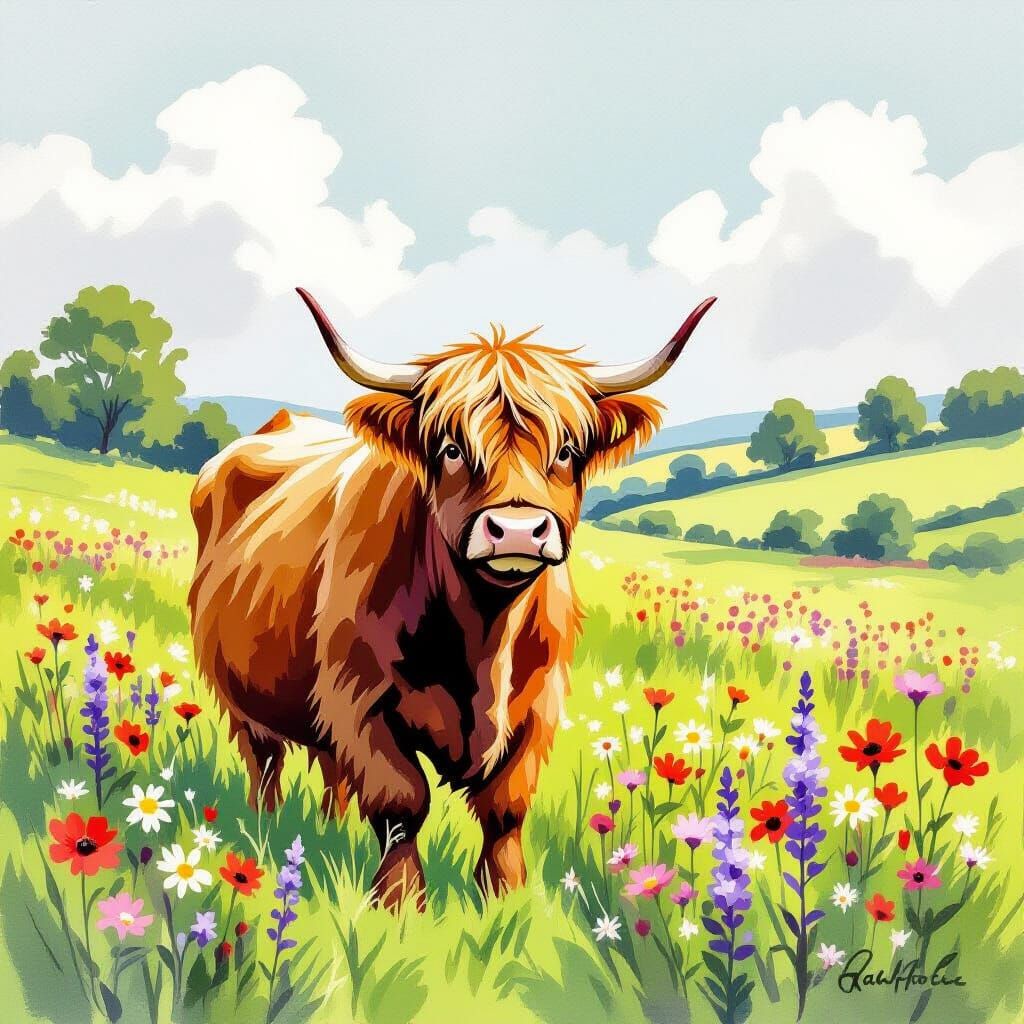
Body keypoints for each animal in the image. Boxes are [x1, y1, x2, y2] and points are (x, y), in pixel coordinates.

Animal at [188, 288, 715, 908]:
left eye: (566, 450)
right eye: (452, 448)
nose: (518, 531)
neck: (484, 634)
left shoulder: (536, 708)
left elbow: (505, 810)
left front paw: (507, 902)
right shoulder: (361, 700)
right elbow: (401, 803)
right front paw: (397, 906)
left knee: (329, 769)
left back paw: (326, 827)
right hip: (244, 696)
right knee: (266, 764)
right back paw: (267, 832)